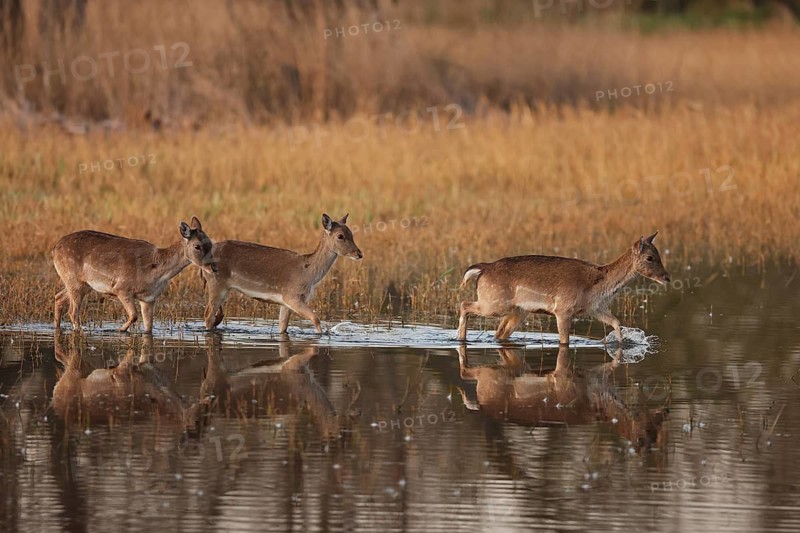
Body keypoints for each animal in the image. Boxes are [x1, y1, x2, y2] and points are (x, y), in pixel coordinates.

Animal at [53, 216, 216, 334]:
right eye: (197, 246)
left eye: (211, 244)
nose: (213, 267)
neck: (157, 273)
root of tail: (54, 249)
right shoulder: (122, 288)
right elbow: (134, 315)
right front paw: (119, 330)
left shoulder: (149, 298)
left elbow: (148, 327)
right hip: (74, 280)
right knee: (72, 311)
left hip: (82, 284)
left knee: (58, 297)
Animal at [202, 213, 362, 334]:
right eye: (340, 236)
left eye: (352, 234)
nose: (359, 254)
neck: (309, 275)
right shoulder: (292, 296)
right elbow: (316, 319)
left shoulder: (285, 303)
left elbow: (283, 327)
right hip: (217, 284)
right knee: (208, 315)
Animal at [457, 232, 669, 345]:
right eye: (650, 257)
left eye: (658, 253)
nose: (666, 277)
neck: (598, 287)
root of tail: (482, 269)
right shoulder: (563, 309)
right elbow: (564, 340)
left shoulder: (595, 308)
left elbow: (616, 322)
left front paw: (620, 342)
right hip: (494, 303)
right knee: (464, 303)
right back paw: (460, 337)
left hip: (518, 311)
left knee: (499, 333)